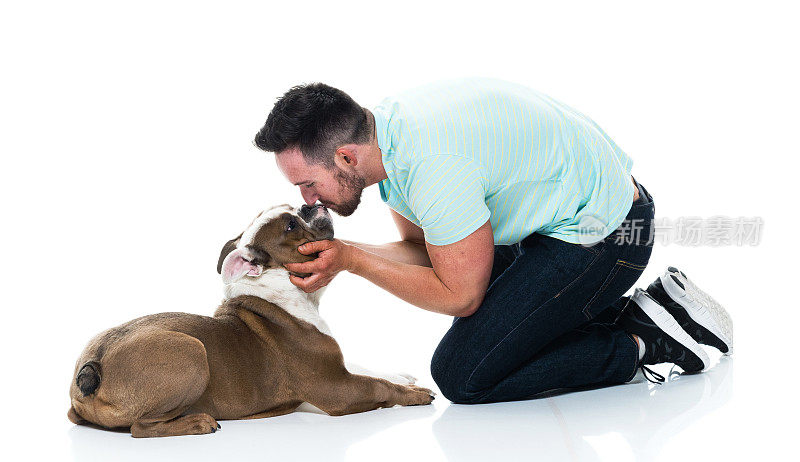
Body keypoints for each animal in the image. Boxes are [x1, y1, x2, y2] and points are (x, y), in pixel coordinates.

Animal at [66, 205, 434, 436]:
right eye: (290, 226)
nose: (309, 204)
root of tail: (93, 364)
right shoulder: (336, 388)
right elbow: (379, 386)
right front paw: (413, 394)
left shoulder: (338, 368)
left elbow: (369, 368)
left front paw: (403, 376)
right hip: (191, 350)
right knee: (139, 428)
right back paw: (198, 423)